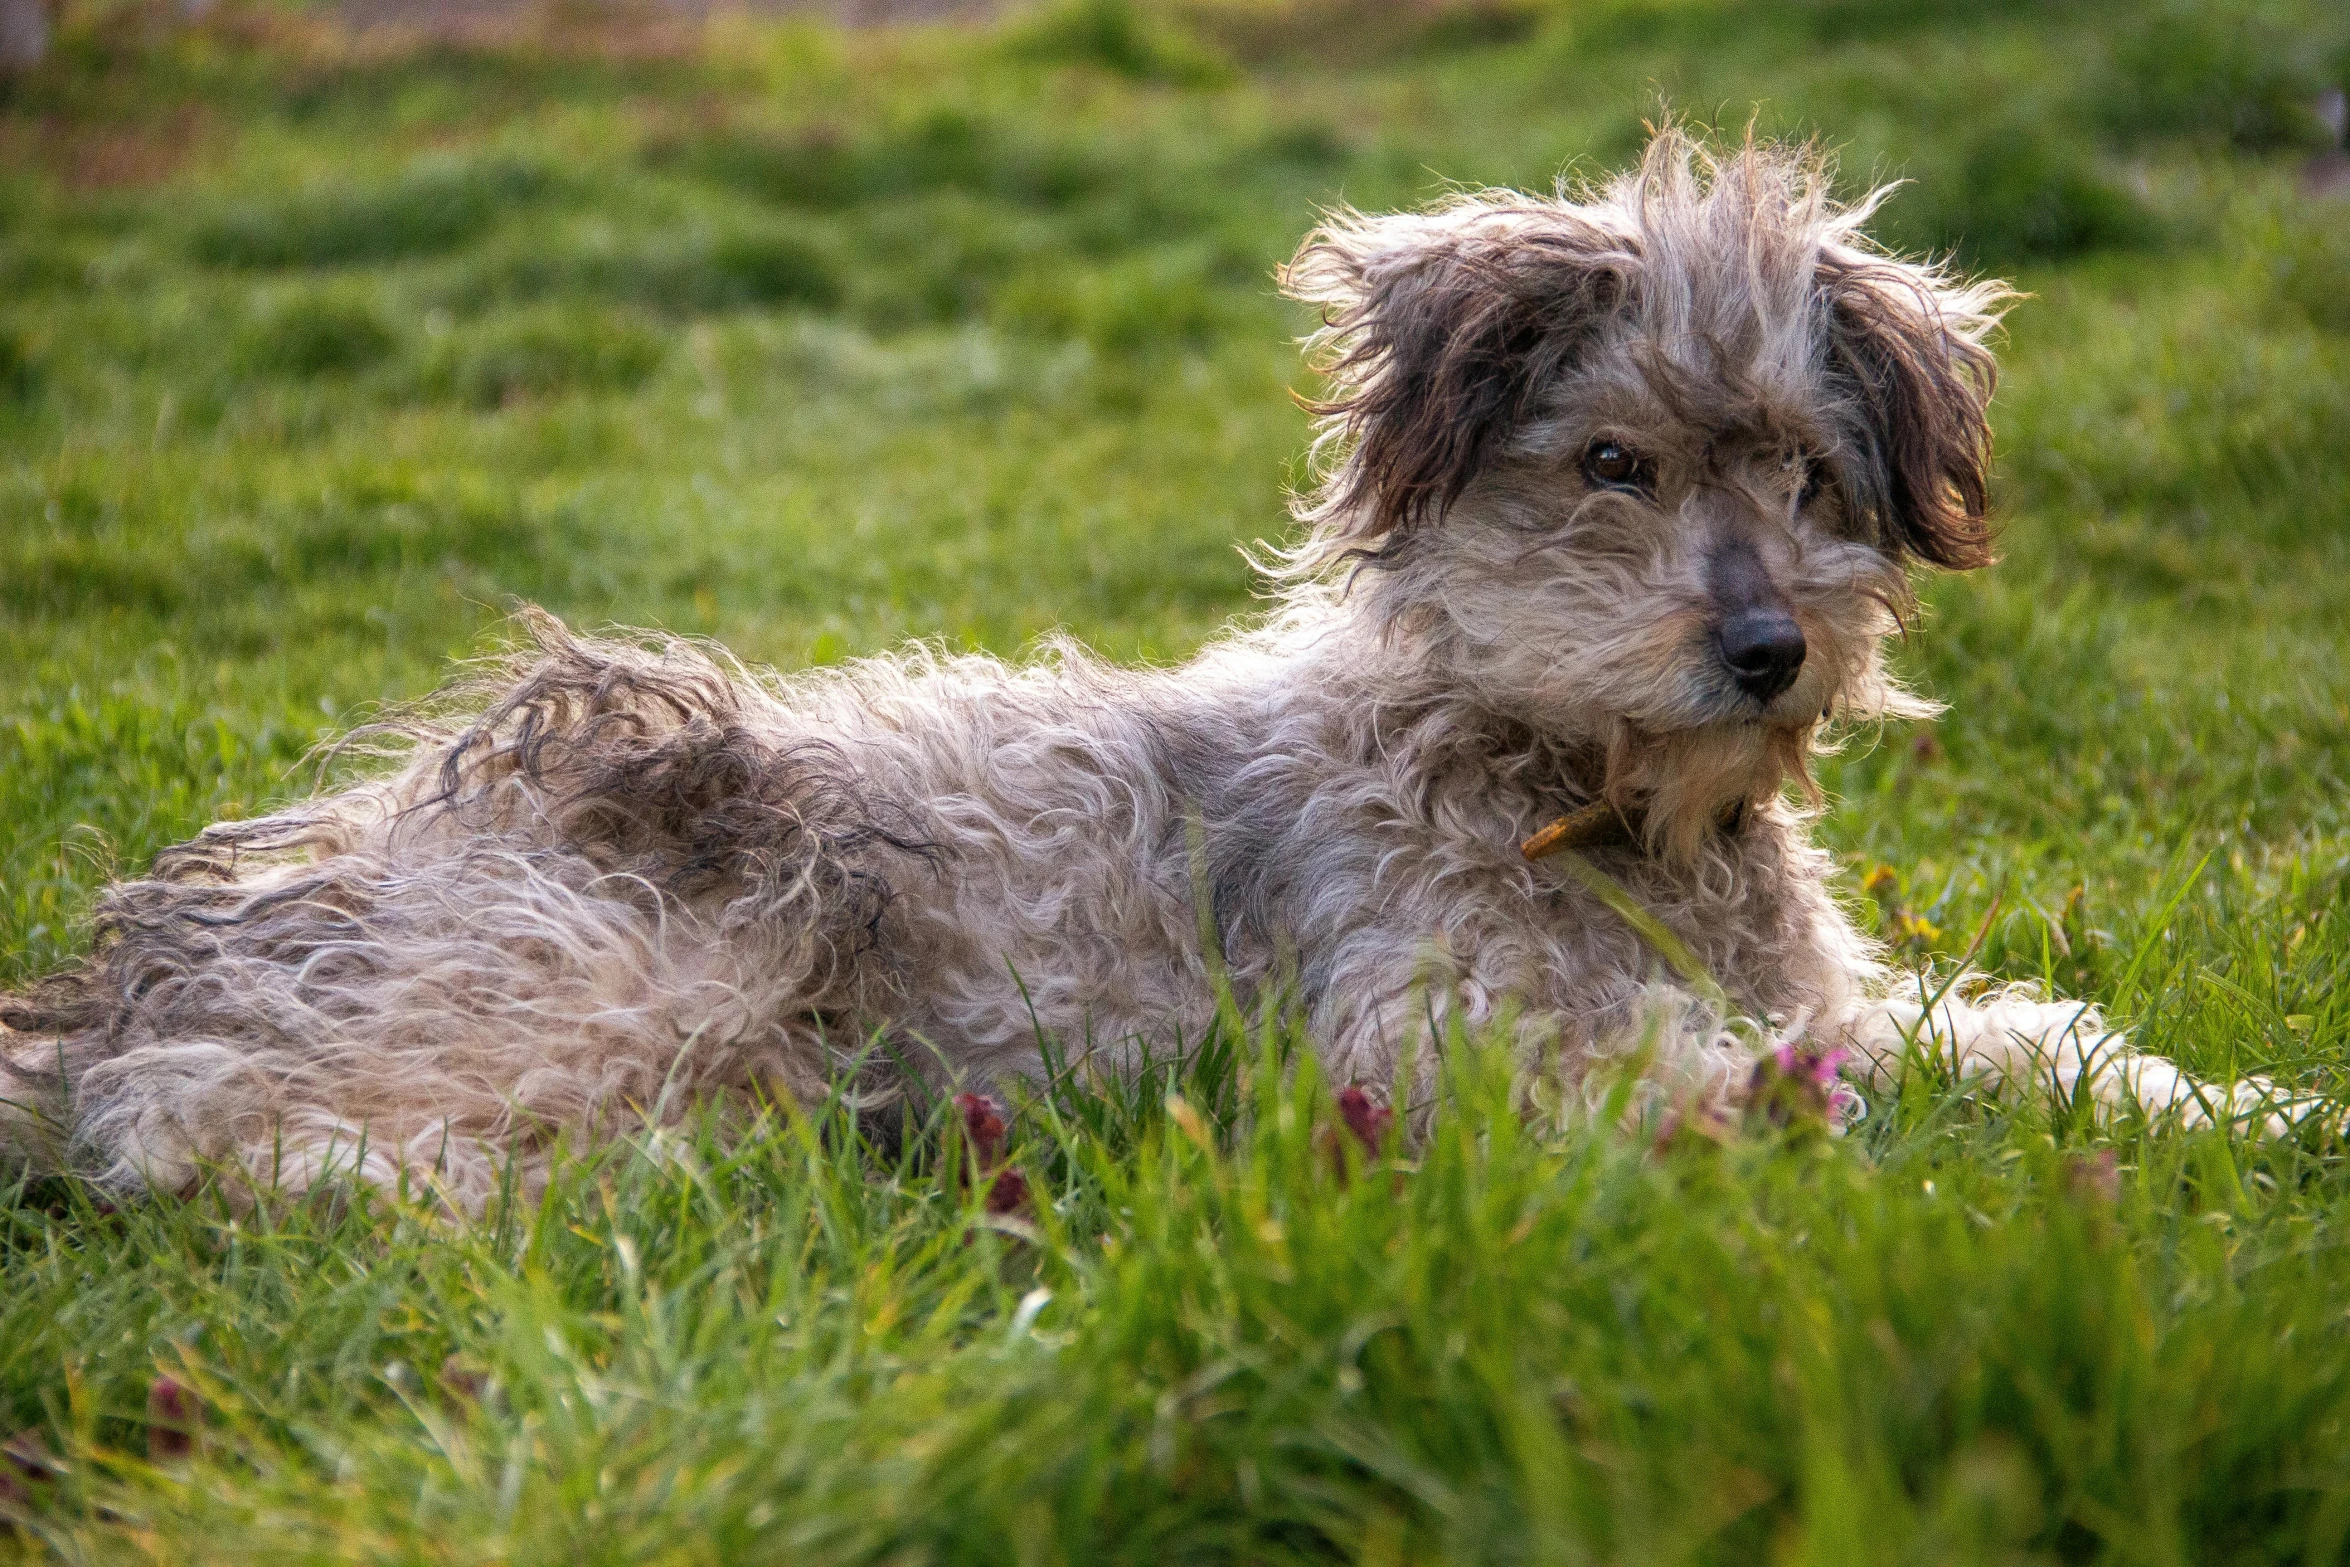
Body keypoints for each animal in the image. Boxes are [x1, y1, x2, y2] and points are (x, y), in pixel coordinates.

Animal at [0, 138, 2274, 1212]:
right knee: (208, 1125)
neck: (1586, 805)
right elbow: (1687, 1072)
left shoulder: (1823, 976)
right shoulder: (1428, 1030)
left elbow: (2010, 1033)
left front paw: (2226, 1102)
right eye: (1613, 466)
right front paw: (1805, 1120)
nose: (1767, 646)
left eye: (1806, 474)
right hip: (665, 928)